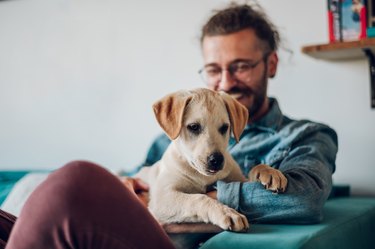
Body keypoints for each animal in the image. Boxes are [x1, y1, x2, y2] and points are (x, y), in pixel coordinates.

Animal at [137, 88, 288, 231]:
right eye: (194, 127)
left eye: (225, 127)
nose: (216, 160)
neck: (202, 176)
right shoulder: (161, 198)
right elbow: (198, 198)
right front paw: (227, 213)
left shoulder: (238, 179)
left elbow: (254, 169)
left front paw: (270, 172)